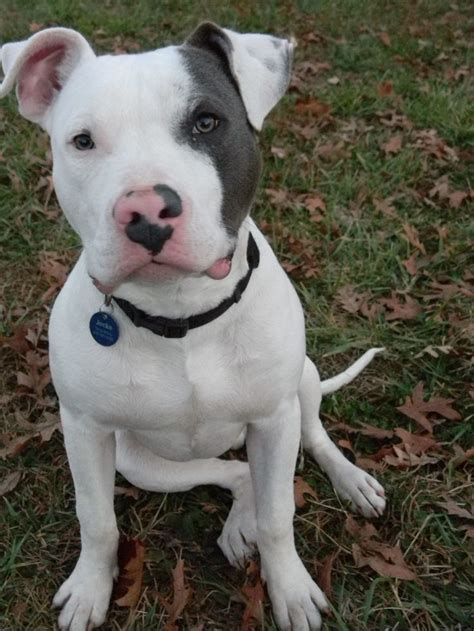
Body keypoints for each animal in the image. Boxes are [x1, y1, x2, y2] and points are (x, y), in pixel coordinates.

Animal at [0, 22, 386, 628]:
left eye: (206, 122)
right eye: (82, 141)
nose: (144, 211)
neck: (181, 313)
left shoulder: (275, 421)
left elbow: (280, 515)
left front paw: (291, 589)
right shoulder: (85, 431)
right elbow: (97, 520)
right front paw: (89, 588)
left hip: (300, 379)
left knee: (313, 436)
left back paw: (350, 480)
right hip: (140, 462)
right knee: (235, 474)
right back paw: (238, 522)